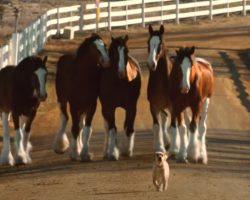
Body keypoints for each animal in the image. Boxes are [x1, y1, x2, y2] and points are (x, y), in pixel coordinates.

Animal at [53, 33, 109, 161]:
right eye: (94, 48)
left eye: (104, 45)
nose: (107, 61)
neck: (81, 76)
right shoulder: (74, 105)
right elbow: (74, 128)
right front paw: (74, 153)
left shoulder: (91, 106)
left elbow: (86, 130)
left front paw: (85, 153)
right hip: (62, 100)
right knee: (64, 118)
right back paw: (60, 146)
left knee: (80, 125)